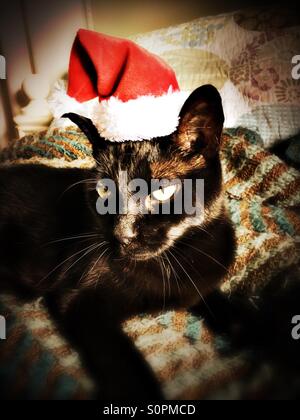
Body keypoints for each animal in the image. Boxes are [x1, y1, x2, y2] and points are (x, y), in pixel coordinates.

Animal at [0, 85, 236, 400]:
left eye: (162, 191)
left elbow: (231, 307)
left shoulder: (200, 284)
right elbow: (124, 367)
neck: (176, 260)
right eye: (103, 190)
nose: (122, 234)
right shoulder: (83, 303)